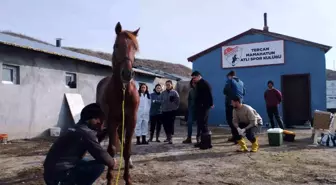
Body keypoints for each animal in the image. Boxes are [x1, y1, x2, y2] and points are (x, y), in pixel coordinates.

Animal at [96, 22, 140, 185]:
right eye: (116, 45)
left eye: (135, 47)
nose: (127, 74)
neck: (123, 92)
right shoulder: (112, 121)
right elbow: (112, 149)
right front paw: (109, 179)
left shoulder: (131, 120)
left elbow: (127, 150)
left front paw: (128, 179)